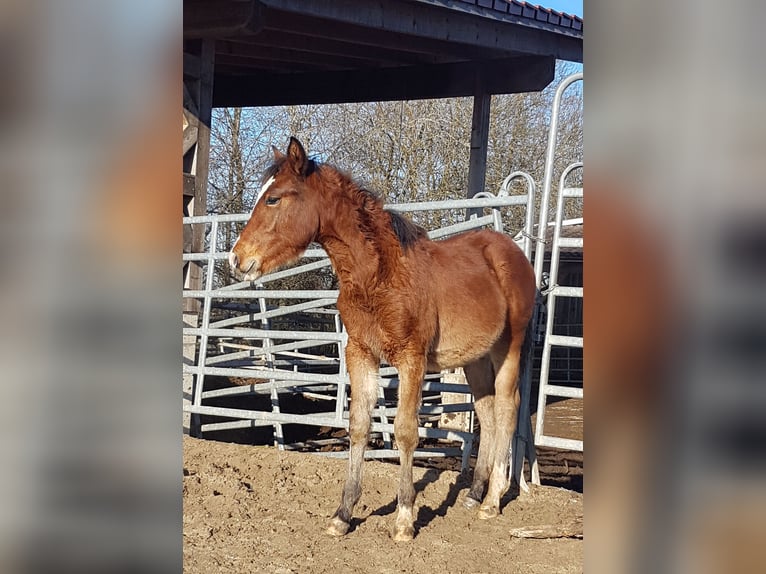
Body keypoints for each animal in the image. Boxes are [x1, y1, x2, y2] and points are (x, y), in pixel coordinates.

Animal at [231, 137, 536, 544]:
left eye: (274, 199)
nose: (237, 259)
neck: (378, 275)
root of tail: (512, 251)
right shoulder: (360, 353)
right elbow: (359, 427)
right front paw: (342, 516)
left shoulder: (411, 359)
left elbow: (405, 432)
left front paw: (404, 519)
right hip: (475, 357)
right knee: (486, 412)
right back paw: (474, 494)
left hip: (509, 347)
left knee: (506, 407)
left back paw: (492, 501)